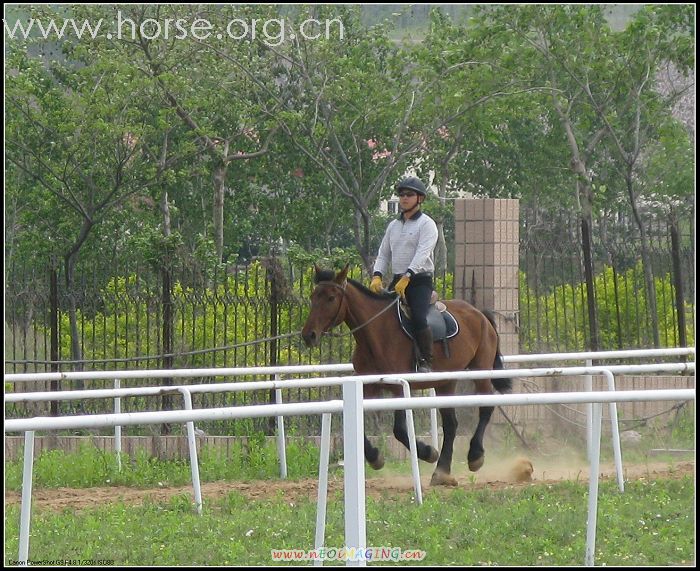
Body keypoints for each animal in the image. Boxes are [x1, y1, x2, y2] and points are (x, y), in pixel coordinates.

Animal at [300, 268, 508, 488]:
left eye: (331, 298)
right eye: (313, 297)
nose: (308, 335)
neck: (376, 332)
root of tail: (480, 314)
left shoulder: (399, 387)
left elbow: (399, 430)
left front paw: (428, 452)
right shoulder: (369, 386)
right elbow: (353, 429)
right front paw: (375, 457)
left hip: (481, 371)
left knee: (486, 407)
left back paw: (475, 456)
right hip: (446, 382)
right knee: (451, 425)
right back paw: (442, 472)